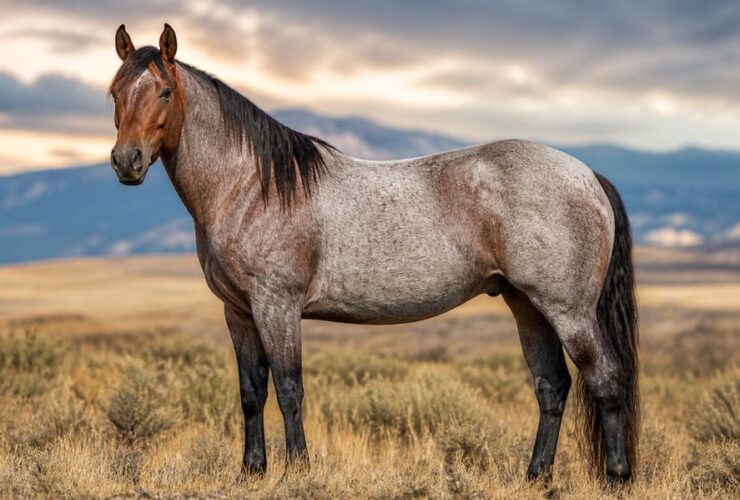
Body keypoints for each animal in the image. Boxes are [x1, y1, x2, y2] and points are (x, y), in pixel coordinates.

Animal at [108, 24, 639, 487]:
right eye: (114, 93)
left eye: (164, 92)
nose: (125, 161)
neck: (253, 186)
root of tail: (587, 174)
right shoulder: (238, 312)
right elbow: (251, 392)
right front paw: (251, 472)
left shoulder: (277, 306)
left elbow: (289, 389)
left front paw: (297, 471)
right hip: (526, 305)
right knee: (552, 386)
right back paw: (535, 477)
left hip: (568, 310)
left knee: (606, 380)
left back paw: (617, 478)